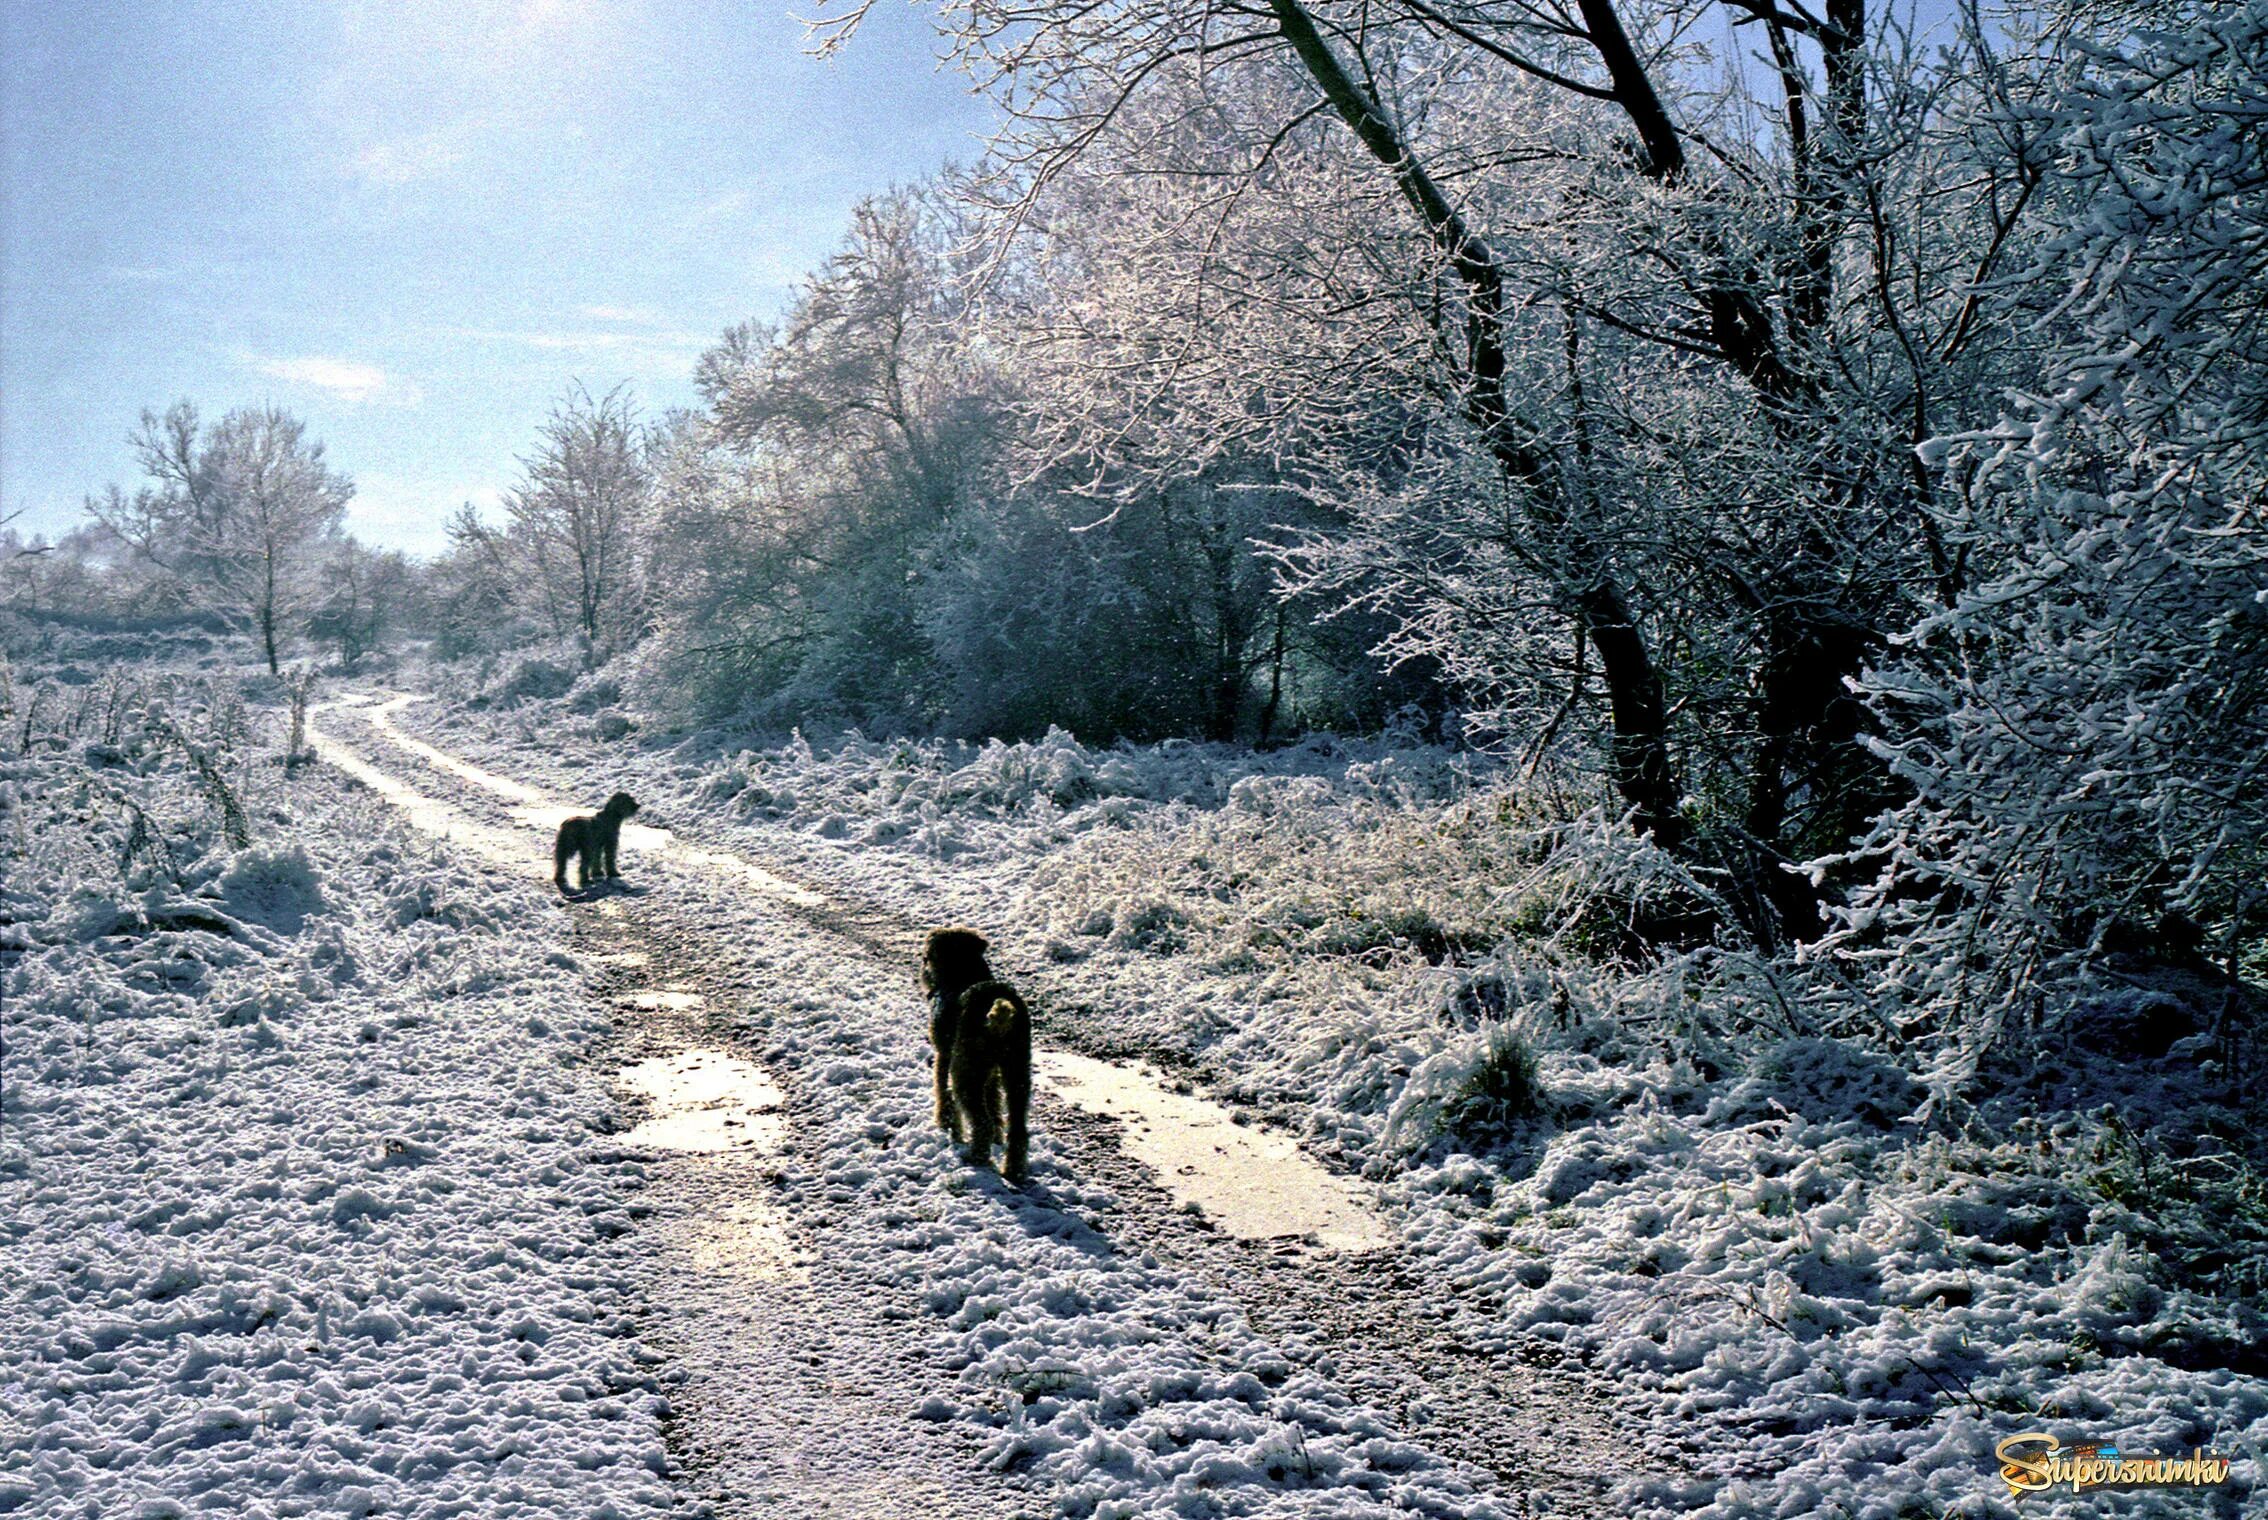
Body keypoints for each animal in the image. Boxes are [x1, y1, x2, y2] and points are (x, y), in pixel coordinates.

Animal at [916, 921, 1034, 1188]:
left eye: (928, 956)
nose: (922, 969)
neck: (964, 972)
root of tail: (1000, 1012)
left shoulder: (944, 1055)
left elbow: (942, 1091)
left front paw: (945, 1123)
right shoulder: (991, 1073)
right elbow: (994, 1102)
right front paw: (997, 1138)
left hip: (965, 1071)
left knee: (981, 1122)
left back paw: (975, 1158)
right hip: (1017, 1072)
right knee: (1017, 1130)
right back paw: (1014, 1171)